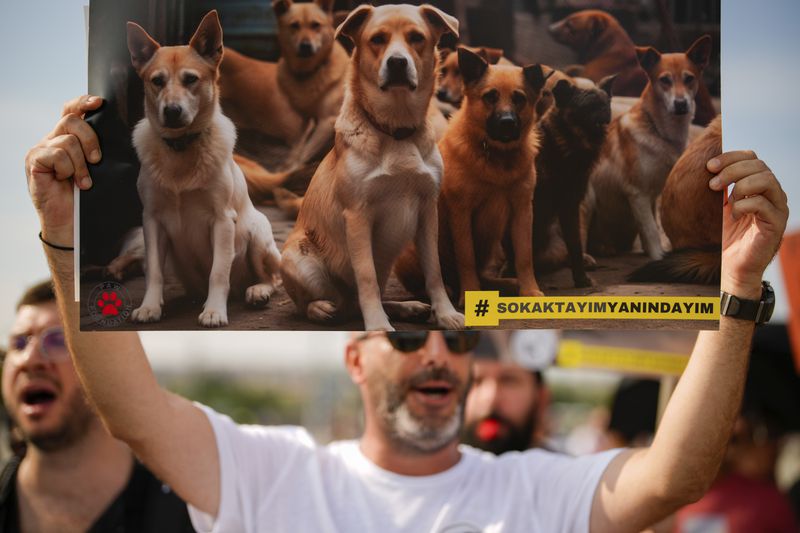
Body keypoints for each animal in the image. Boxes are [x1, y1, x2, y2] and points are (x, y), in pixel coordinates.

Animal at [219, 0, 346, 166]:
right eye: (294, 25)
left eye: (316, 25)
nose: (305, 46)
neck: (310, 73)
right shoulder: (303, 125)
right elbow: (298, 153)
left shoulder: (327, 120)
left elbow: (302, 154)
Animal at [394, 47, 552, 306]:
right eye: (490, 96)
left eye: (519, 98)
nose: (507, 123)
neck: (496, 156)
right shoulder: (462, 213)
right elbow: (465, 258)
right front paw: (469, 293)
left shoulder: (522, 211)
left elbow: (524, 256)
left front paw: (529, 290)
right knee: (433, 280)